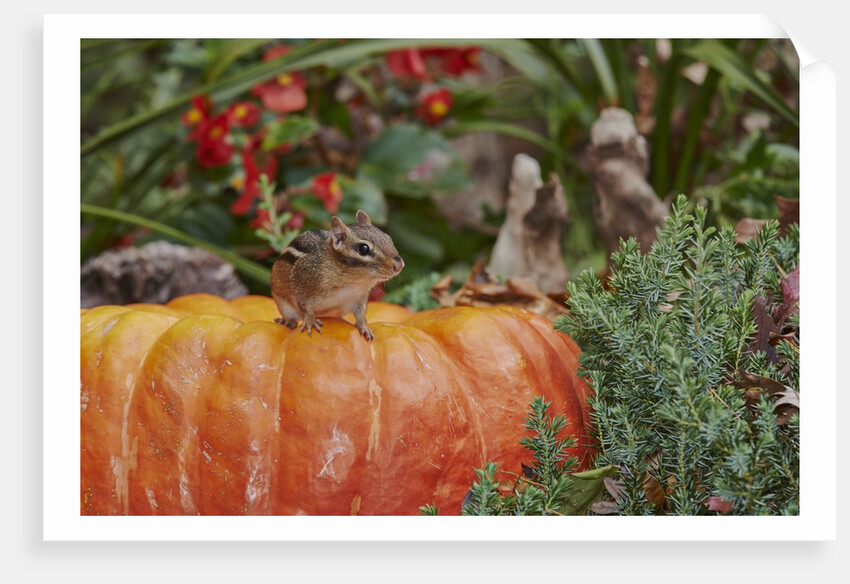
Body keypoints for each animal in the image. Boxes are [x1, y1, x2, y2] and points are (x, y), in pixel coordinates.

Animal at [270, 209, 404, 341]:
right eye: (364, 248)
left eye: (388, 238)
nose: (399, 265)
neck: (352, 282)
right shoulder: (302, 288)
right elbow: (305, 307)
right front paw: (310, 322)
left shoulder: (360, 298)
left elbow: (361, 314)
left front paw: (365, 328)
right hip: (284, 305)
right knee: (292, 321)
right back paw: (286, 322)